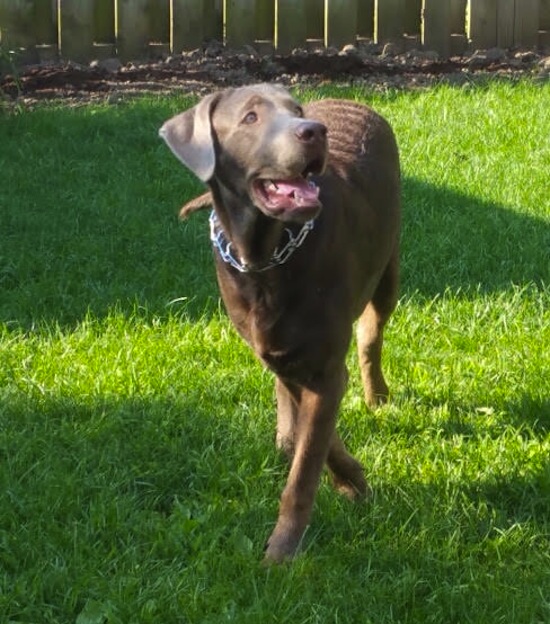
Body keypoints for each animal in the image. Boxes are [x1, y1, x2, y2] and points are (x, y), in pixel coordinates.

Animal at [160, 81, 402, 560]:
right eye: (251, 117)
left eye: (295, 110)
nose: (314, 130)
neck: (265, 258)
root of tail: (355, 100)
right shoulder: (282, 351)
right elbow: (315, 437)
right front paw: (348, 476)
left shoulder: (322, 364)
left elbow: (307, 466)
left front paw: (282, 552)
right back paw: (285, 435)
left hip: (389, 273)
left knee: (371, 336)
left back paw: (376, 395)